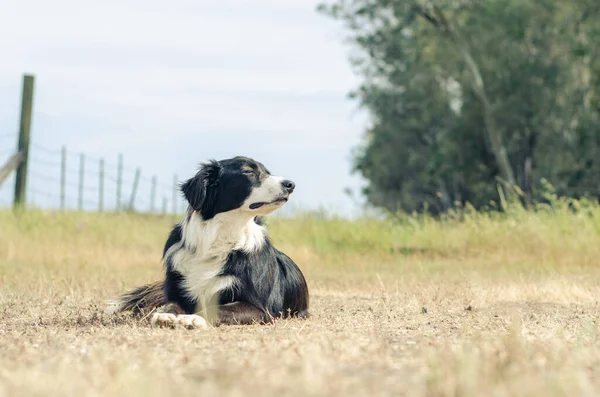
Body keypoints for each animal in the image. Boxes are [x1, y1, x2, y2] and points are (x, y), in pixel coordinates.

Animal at [104, 155, 310, 328]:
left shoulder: (259, 309)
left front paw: (192, 318)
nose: (290, 184)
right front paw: (166, 315)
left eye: (267, 172)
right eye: (249, 172)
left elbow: (217, 308)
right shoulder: (180, 291)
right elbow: (172, 304)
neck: (219, 237)